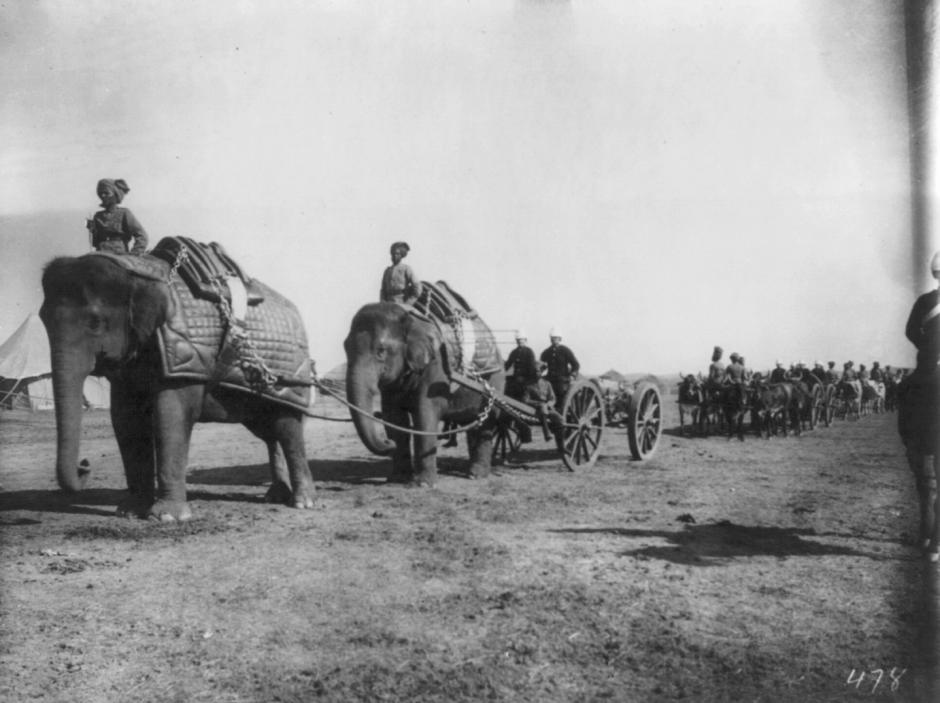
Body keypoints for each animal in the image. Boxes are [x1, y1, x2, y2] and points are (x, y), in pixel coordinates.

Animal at [40, 248, 314, 524]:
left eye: (95, 322)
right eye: (43, 319)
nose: (84, 465)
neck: (136, 271)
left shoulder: (183, 360)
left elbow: (170, 415)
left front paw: (167, 517)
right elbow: (126, 421)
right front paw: (129, 511)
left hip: (290, 382)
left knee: (287, 428)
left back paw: (302, 502)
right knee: (269, 433)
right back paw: (276, 496)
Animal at [346, 300, 506, 486]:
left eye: (381, 351)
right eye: (345, 348)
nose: (387, 442)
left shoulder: (436, 369)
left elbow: (424, 416)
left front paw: (422, 484)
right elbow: (394, 419)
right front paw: (397, 479)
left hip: (496, 382)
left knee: (485, 424)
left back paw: (477, 475)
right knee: (473, 424)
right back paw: (472, 473)